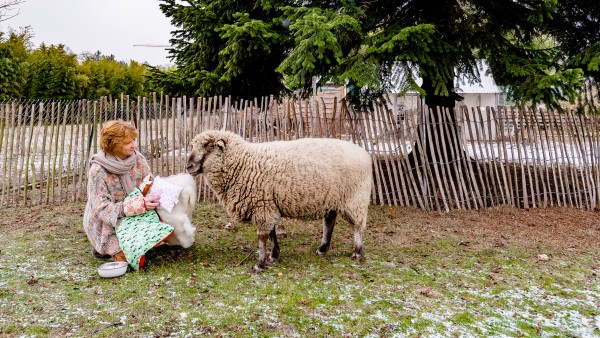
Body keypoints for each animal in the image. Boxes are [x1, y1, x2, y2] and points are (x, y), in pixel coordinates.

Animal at [188, 128, 372, 274]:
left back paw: (357, 252)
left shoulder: (262, 205)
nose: (188, 166)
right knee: (330, 222)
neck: (243, 162)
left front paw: (260, 265)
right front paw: (274, 255)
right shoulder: (267, 203)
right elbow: (271, 233)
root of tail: (365, 154)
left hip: (355, 198)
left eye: (208, 145)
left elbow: (262, 236)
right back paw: (322, 249)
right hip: (333, 199)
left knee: (357, 225)